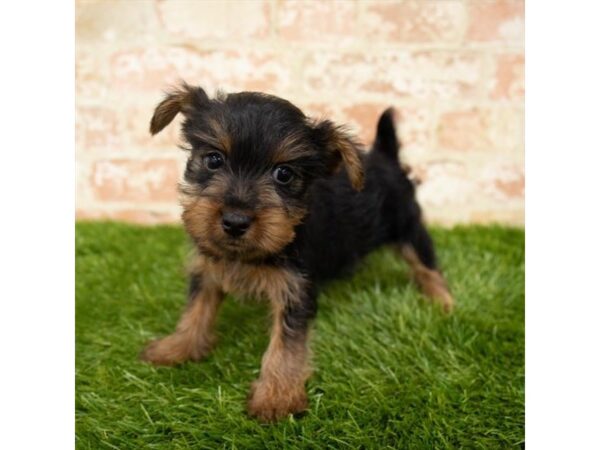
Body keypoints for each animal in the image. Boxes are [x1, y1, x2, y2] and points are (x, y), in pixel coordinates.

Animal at [139, 83, 450, 422]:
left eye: (284, 174)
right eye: (213, 160)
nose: (235, 221)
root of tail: (386, 158)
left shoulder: (296, 290)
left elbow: (286, 345)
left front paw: (276, 397)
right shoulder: (209, 268)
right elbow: (196, 309)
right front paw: (177, 347)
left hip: (408, 226)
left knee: (427, 265)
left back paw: (443, 303)